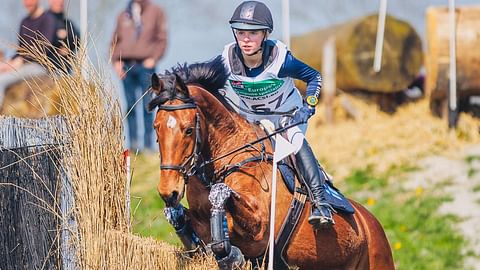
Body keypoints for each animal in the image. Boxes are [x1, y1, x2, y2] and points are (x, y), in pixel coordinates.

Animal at [149, 56, 394, 268]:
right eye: (156, 128)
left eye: (189, 130)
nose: (168, 192)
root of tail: (370, 222)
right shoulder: (200, 224)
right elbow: (182, 220)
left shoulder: (259, 229)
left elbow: (222, 195)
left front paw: (231, 254)